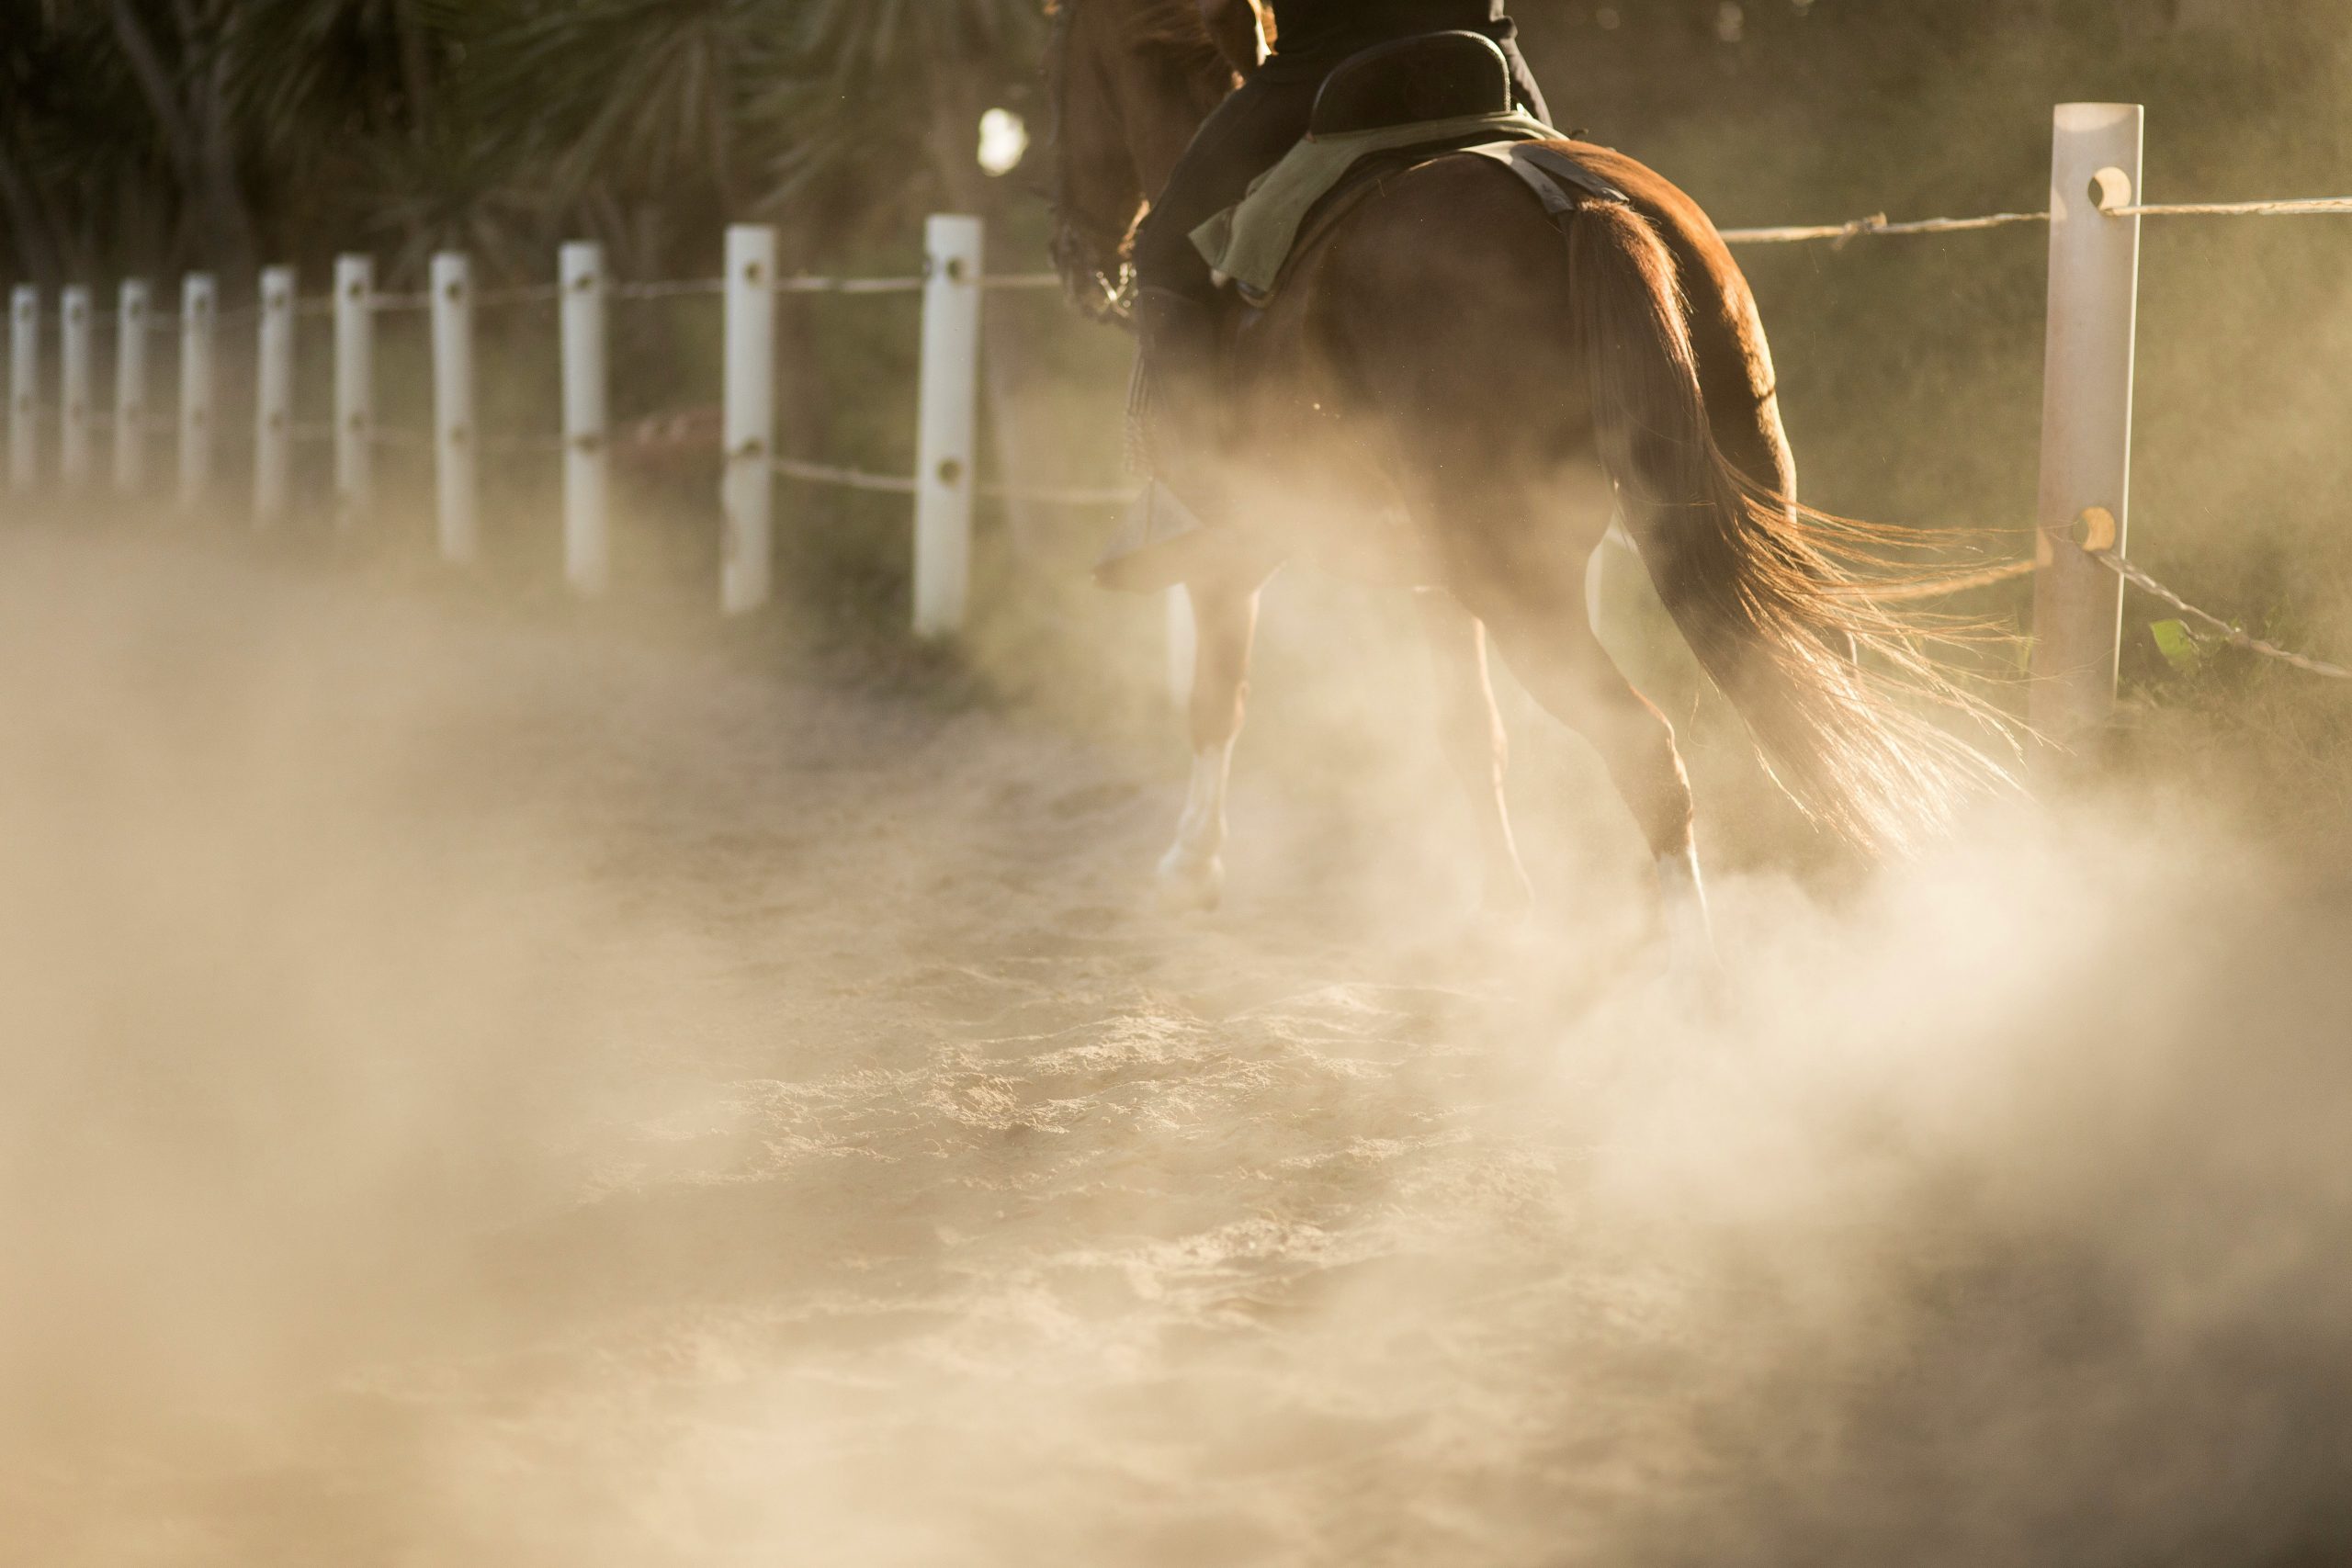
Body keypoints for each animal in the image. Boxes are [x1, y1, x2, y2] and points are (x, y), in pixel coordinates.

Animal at [1043, 0, 2008, 972]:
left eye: (1066, 64)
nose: (1074, 256)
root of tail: (1579, 202)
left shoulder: (1234, 553)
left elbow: (1218, 698)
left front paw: (1190, 865)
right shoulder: (1433, 581)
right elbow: (1471, 732)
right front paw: (1503, 904)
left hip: (1517, 580)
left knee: (1645, 747)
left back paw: (1698, 969)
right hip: (1740, 507)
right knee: (1815, 691)